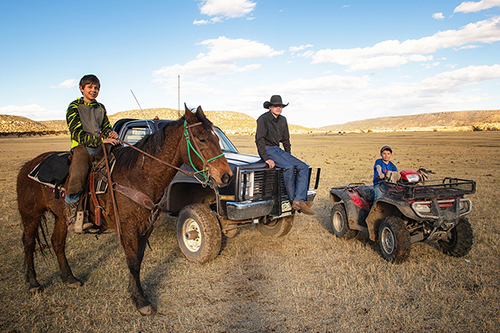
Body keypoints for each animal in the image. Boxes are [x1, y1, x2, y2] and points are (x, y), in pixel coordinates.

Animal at [16, 105, 232, 314]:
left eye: (217, 138)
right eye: (202, 139)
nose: (226, 176)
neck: (138, 176)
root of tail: (28, 165)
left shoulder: (146, 226)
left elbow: (138, 259)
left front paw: (134, 292)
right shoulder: (128, 227)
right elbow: (133, 261)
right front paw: (140, 301)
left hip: (61, 217)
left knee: (57, 243)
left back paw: (69, 279)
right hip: (30, 214)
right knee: (28, 243)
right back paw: (33, 283)